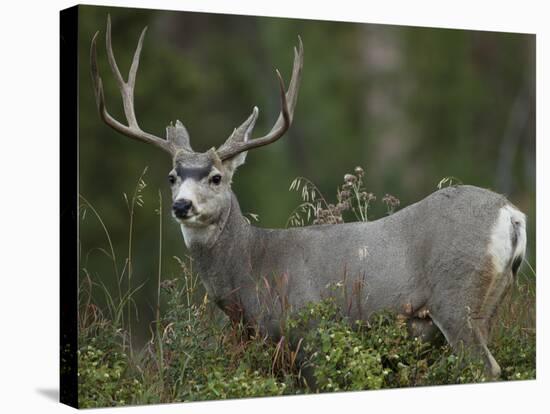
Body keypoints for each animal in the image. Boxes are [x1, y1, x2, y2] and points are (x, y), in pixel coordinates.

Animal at [91, 17, 532, 378]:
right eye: (171, 177)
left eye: (216, 178)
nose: (182, 205)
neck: (253, 268)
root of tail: (511, 213)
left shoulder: (307, 330)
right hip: (488, 303)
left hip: (456, 299)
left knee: (487, 369)